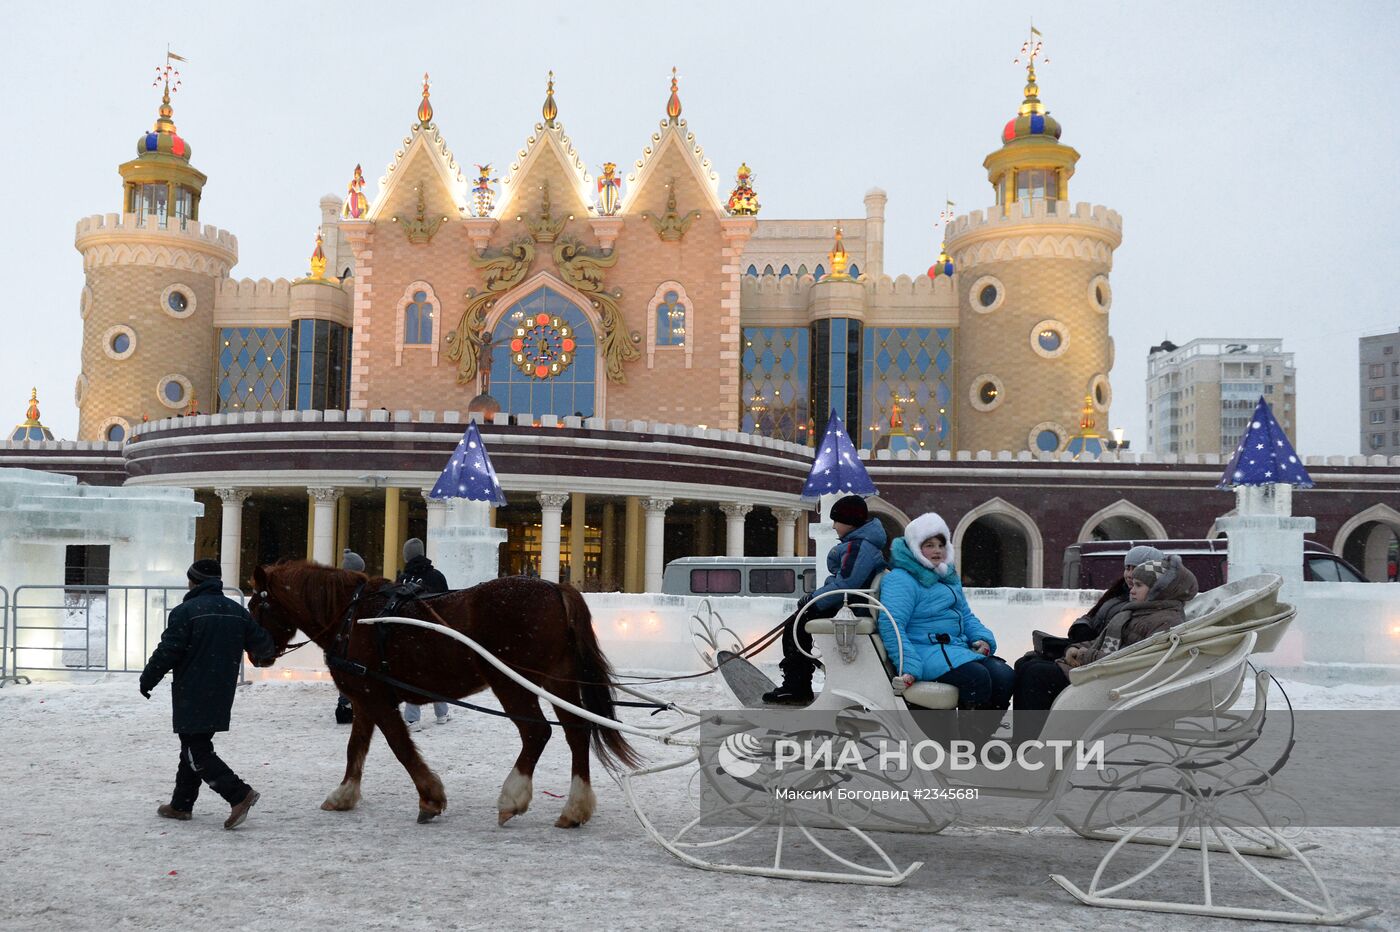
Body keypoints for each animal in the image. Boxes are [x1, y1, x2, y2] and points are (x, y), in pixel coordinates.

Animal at [247, 562, 641, 822]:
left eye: (256, 605)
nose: (256, 655)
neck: (352, 617)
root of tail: (555, 588)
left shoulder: (376, 698)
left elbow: (401, 748)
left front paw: (430, 797)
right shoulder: (364, 699)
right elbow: (355, 748)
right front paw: (344, 794)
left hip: (512, 682)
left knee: (536, 732)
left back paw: (512, 797)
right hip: (558, 680)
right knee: (577, 731)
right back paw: (575, 807)